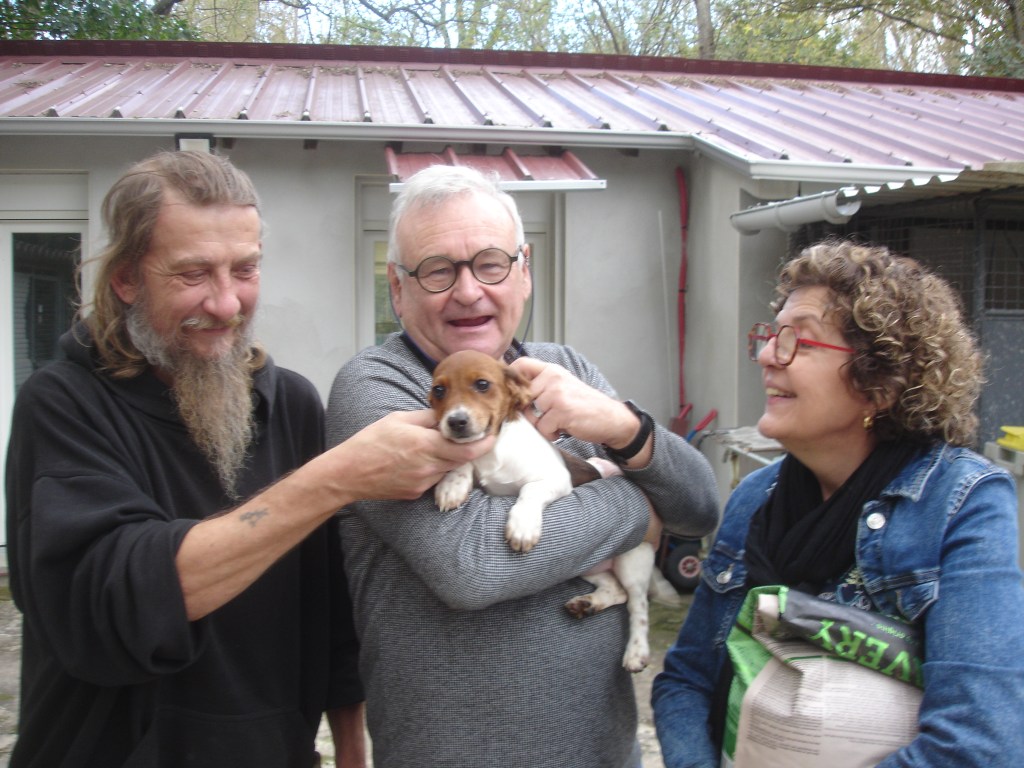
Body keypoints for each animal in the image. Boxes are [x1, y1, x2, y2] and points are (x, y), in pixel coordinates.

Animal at [428, 348, 680, 672]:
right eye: (439, 390)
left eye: (482, 384)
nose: (456, 421)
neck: (494, 450)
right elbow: (463, 460)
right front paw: (453, 483)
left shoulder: (556, 479)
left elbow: (529, 490)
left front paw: (522, 526)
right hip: (586, 564)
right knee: (617, 591)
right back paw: (588, 604)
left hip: (632, 559)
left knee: (638, 605)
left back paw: (636, 651)